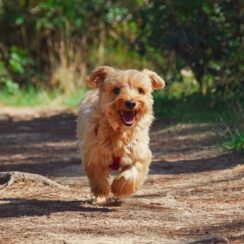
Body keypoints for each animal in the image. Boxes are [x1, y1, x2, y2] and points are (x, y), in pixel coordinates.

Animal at [77, 66, 166, 204]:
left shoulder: (140, 153)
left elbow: (131, 174)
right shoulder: (93, 154)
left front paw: (118, 188)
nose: (131, 103)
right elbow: (98, 176)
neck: (120, 132)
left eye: (140, 90)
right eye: (116, 90)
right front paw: (102, 192)